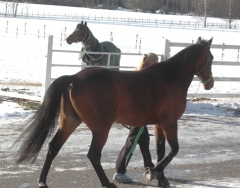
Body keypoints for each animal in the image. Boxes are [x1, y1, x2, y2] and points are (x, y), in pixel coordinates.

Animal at [13, 37, 214, 188]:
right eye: (211, 58)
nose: (210, 84)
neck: (170, 78)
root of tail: (74, 78)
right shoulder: (170, 122)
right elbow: (173, 150)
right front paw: (154, 172)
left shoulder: (159, 124)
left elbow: (160, 150)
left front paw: (161, 177)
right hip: (101, 128)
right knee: (93, 155)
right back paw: (107, 183)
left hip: (70, 121)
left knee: (53, 147)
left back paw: (42, 181)